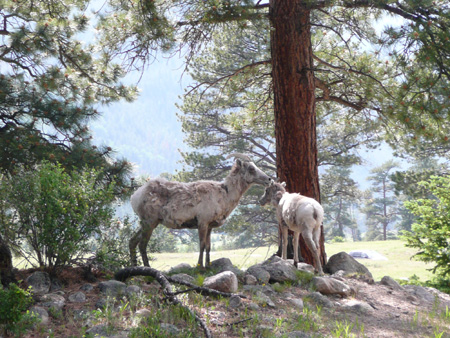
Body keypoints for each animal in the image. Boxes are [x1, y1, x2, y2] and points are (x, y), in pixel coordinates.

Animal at [128, 153, 272, 266]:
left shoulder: (210, 226)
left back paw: (134, 266)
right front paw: (199, 266)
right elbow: (201, 245)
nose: (269, 179)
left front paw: (208, 266)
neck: (224, 196)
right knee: (142, 244)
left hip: (146, 222)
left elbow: (208, 246)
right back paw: (147, 268)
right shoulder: (202, 222)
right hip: (150, 221)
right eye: (251, 168)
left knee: (132, 241)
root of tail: (134, 197)